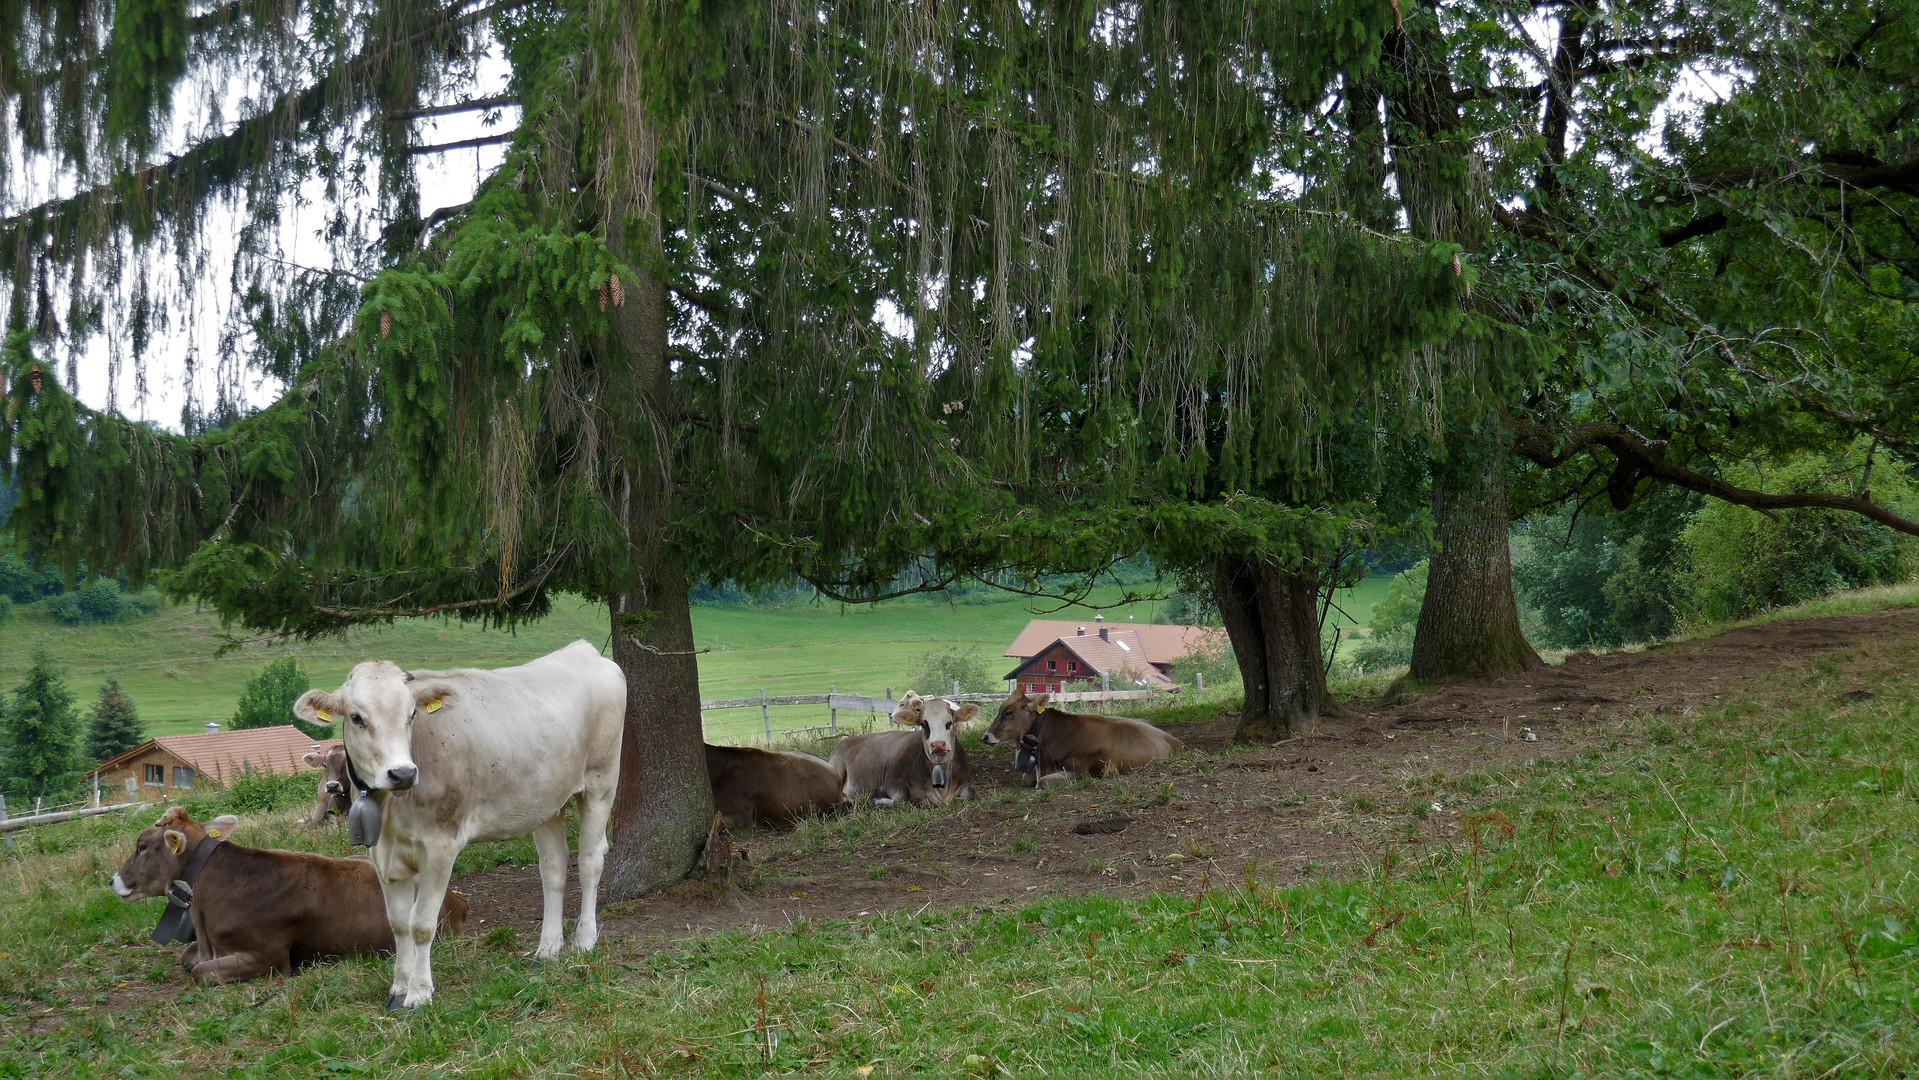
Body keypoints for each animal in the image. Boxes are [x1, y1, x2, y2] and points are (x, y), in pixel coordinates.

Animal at [108, 805, 468, 982]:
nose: (113, 881)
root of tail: (456, 899)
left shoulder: (269, 957)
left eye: (142, 846)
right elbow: (188, 957)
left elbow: (199, 972)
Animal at [293, 636, 621, 1012]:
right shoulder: (383, 854)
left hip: (601, 781)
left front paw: (419, 993)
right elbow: (398, 923)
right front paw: (398, 987)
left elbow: (421, 923)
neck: (392, 808)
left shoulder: (440, 846)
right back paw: (548, 949)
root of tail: (582, 650)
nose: (402, 773)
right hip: (547, 801)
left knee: (590, 860)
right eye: (357, 717)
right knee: (553, 868)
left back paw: (584, 940)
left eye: (412, 714)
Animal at [990, 690, 1182, 790]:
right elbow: (1026, 778)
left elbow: (1042, 782)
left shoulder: (1080, 771)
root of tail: (1176, 741)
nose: (986, 736)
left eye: (1008, 712)